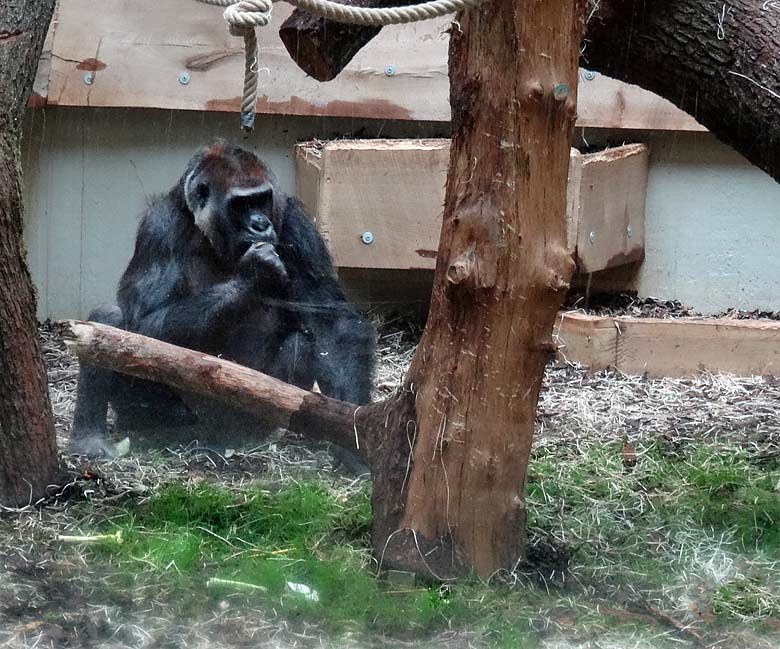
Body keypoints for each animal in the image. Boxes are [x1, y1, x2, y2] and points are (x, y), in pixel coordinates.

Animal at [71, 142, 376, 456]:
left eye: (262, 200)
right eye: (240, 205)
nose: (260, 224)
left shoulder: (296, 222)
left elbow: (332, 325)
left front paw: (353, 441)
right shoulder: (159, 226)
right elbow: (145, 325)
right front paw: (252, 277)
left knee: (300, 344)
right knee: (111, 321)